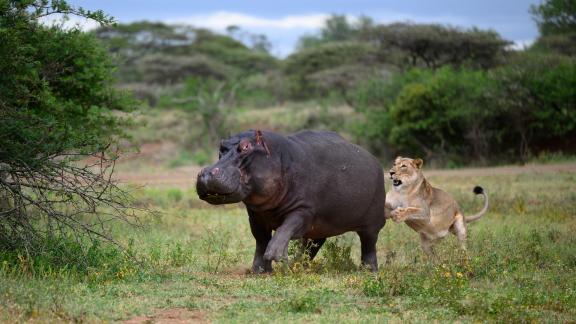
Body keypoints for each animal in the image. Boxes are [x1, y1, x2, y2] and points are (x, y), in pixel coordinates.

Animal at [196, 130, 384, 272]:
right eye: (221, 146)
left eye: (246, 146)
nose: (207, 173)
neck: (278, 157)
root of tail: (373, 158)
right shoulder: (255, 215)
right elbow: (261, 240)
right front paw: (260, 270)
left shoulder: (304, 210)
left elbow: (285, 229)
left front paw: (276, 256)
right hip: (322, 224)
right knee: (313, 245)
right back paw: (298, 266)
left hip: (372, 222)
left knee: (369, 244)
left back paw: (369, 271)